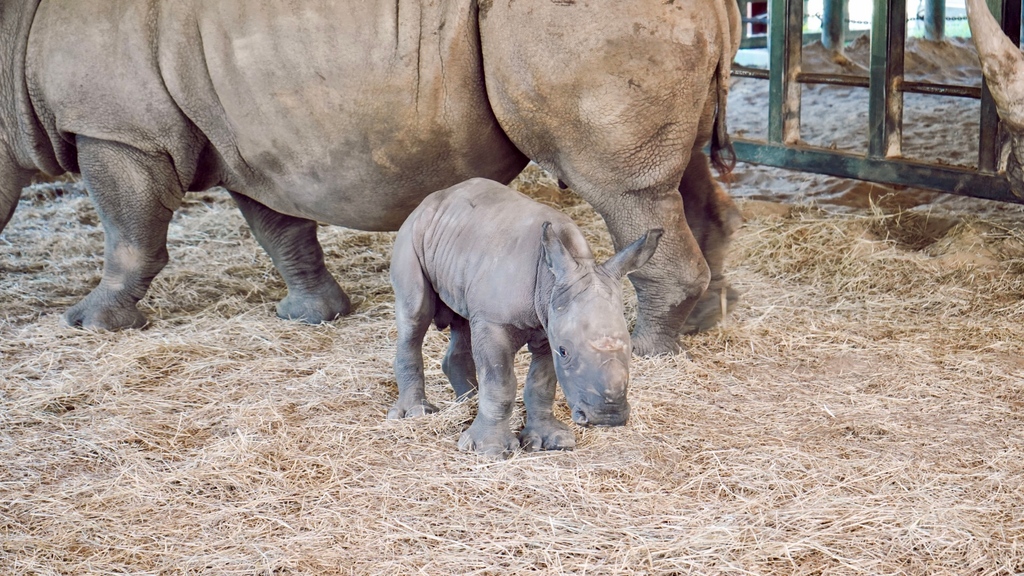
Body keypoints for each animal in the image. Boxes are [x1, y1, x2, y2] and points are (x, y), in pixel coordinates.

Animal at [0, 0, 742, 356]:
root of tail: (718, 4)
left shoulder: (117, 129)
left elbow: (130, 234)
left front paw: (91, 323)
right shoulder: (247, 139)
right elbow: (279, 230)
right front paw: (311, 316)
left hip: (589, 25)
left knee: (623, 190)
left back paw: (645, 349)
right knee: (680, 177)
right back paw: (704, 323)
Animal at [389, 178, 661, 456]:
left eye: (631, 349)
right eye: (565, 351)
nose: (608, 418)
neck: (553, 279)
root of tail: (433, 198)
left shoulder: (549, 324)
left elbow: (541, 384)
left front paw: (551, 441)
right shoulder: (495, 323)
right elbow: (499, 381)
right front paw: (490, 450)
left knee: (462, 322)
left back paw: (469, 403)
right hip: (412, 233)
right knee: (414, 316)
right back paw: (416, 413)